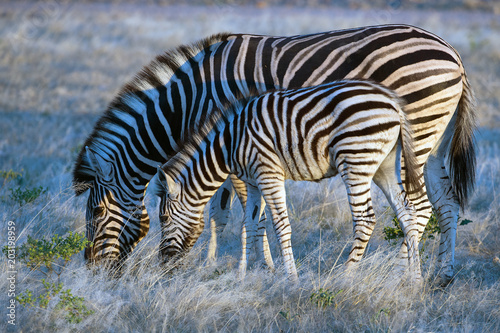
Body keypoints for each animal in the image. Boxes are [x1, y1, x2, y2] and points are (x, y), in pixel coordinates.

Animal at [153, 80, 426, 280]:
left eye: (163, 218)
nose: (163, 265)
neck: (229, 145)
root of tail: (393, 103)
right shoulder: (252, 182)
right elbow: (248, 225)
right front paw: (240, 277)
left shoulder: (267, 173)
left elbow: (280, 225)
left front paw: (291, 278)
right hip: (385, 165)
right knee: (407, 212)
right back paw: (414, 280)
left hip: (355, 161)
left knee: (365, 219)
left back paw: (344, 277)